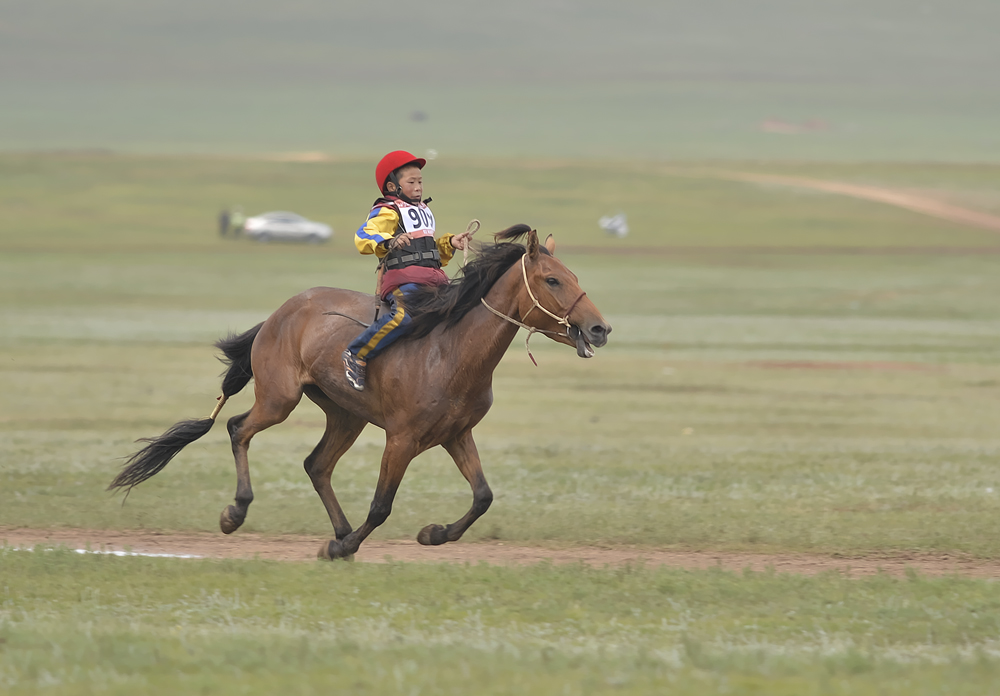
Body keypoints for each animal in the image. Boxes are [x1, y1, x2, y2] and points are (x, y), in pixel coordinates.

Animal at [109, 225, 611, 559]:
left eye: (571, 275)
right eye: (552, 279)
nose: (599, 328)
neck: (449, 350)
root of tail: (282, 311)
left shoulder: (455, 434)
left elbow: (483, 496)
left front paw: (431, 533)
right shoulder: (402, 439)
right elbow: (383, 504)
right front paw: (343, 546)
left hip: (345, 414)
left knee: (316, 464)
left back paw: (337, 530)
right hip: (279, 399)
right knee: (237, 428)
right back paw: (238, 512)